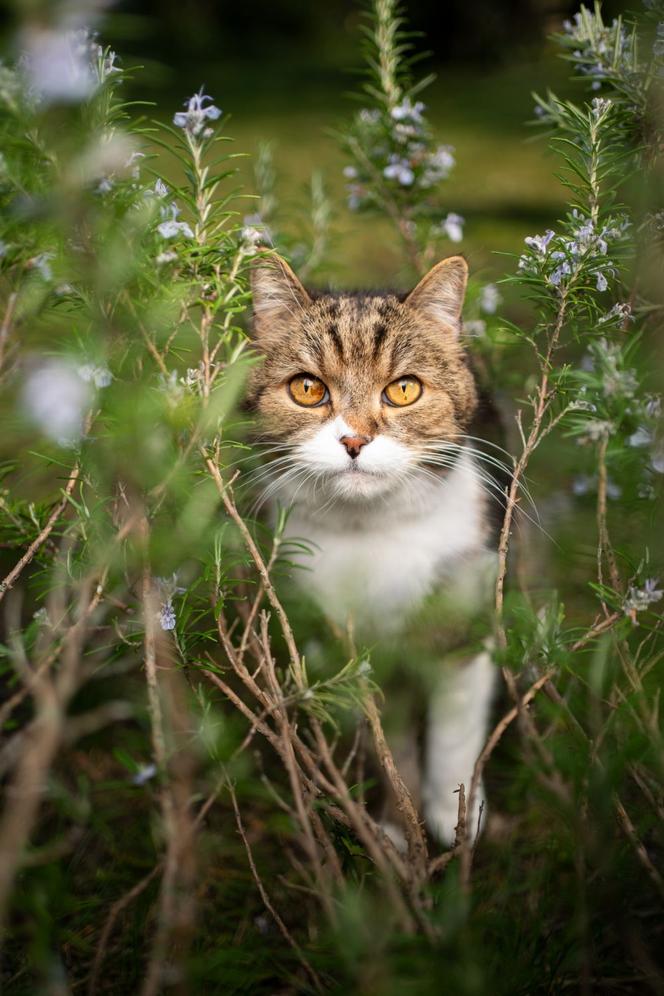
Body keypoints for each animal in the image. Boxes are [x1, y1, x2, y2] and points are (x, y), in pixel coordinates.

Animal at [246, 253, 500, 844]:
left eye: (404, 390)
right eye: (308, 389)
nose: (354, 440)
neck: (372, 532)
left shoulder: (467, 607)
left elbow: (456, 726)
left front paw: (453, 813)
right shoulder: (338, 645)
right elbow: (383, 736)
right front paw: (394, 824)